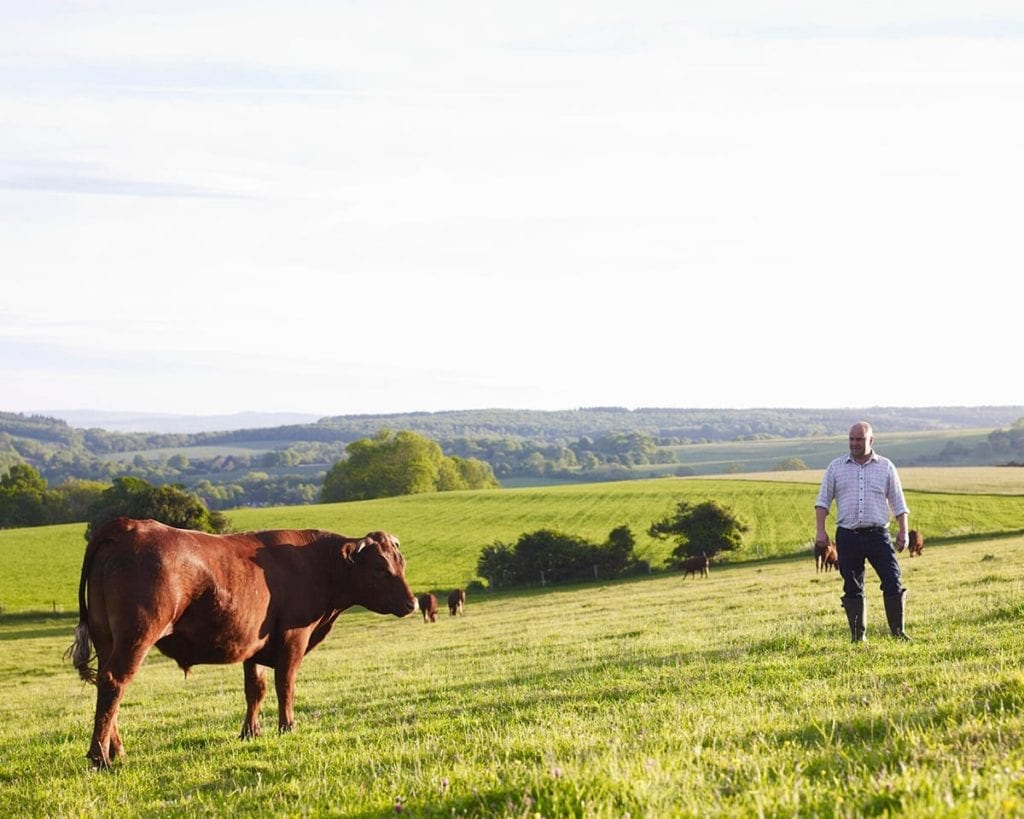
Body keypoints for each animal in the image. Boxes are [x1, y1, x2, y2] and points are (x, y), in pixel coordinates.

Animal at [66, 518, 415, 769]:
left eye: (401, 563)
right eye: (380, 568)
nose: (412, 603)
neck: (317, 564)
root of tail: (127, 525)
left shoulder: (254, 644)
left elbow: (255, 689)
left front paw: (251, 732)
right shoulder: (294, 637)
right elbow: (285, 684)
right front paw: (288, 726)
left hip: (107, 638)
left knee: (106, 687)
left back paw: (117, 749)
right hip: (136, 635)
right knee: (115, 683)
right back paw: (100, 756)